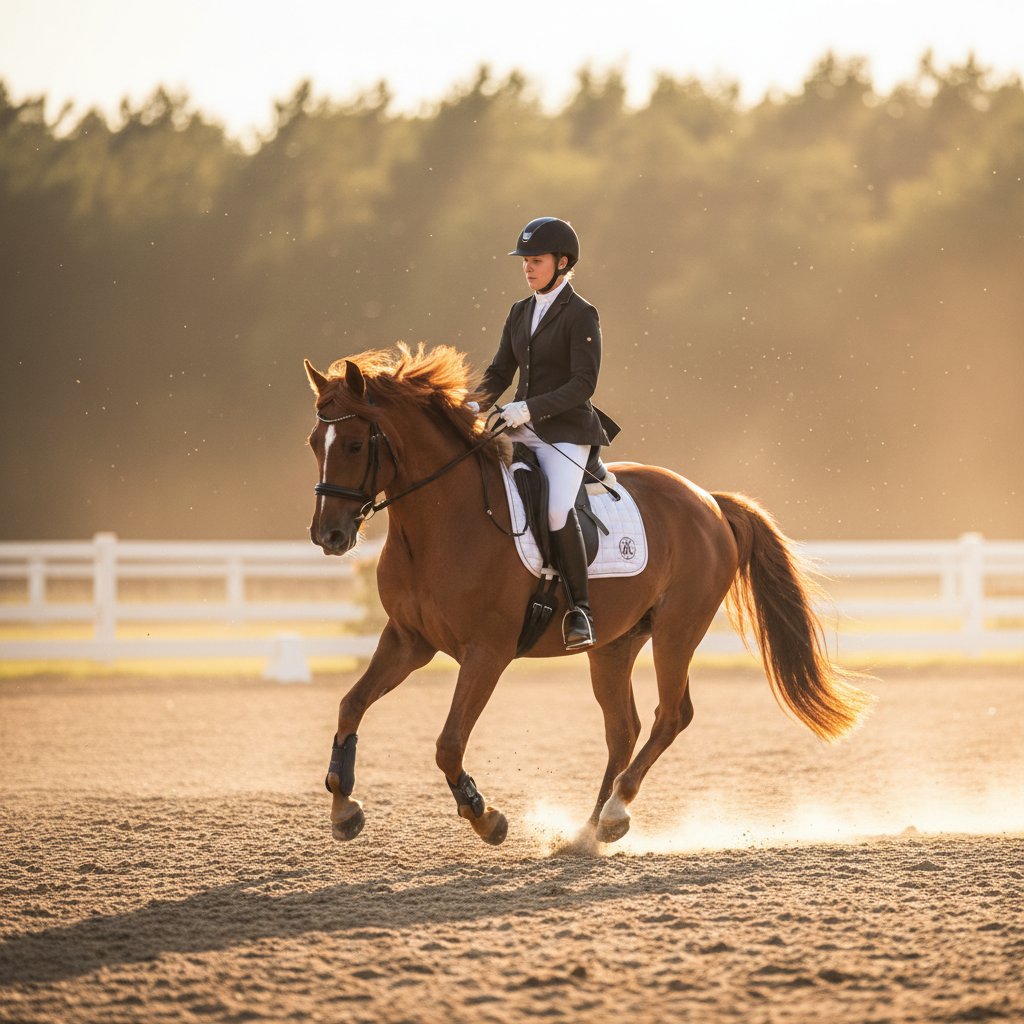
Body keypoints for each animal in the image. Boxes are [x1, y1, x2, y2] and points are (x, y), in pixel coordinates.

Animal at [304, 343, 873, 847]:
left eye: (354, 445)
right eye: (315, 443)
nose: (328, 536)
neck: (443, 521)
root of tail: (708, 500)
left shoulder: (487, 653)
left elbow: (448, 744)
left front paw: (486, 817)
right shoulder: (408, 639)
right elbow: (350, 705)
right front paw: (343, 806)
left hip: (677, 631)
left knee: (672, 716)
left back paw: (617, 811)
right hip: (615, 644)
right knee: (624, 729)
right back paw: (590, 829)